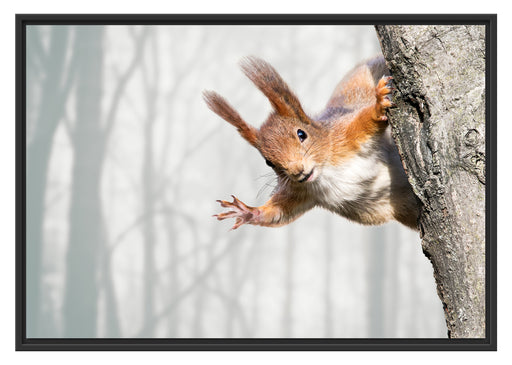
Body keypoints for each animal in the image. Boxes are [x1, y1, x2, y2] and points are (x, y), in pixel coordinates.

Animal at [202, 55, 418, 229]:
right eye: (268, 162)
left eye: (301, 134)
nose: (298, 171)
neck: (325, 172)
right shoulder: (300, 192)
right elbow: (279, 212)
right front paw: (247, 212)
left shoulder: (344, 136)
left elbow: (364, 121)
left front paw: (378, 105)